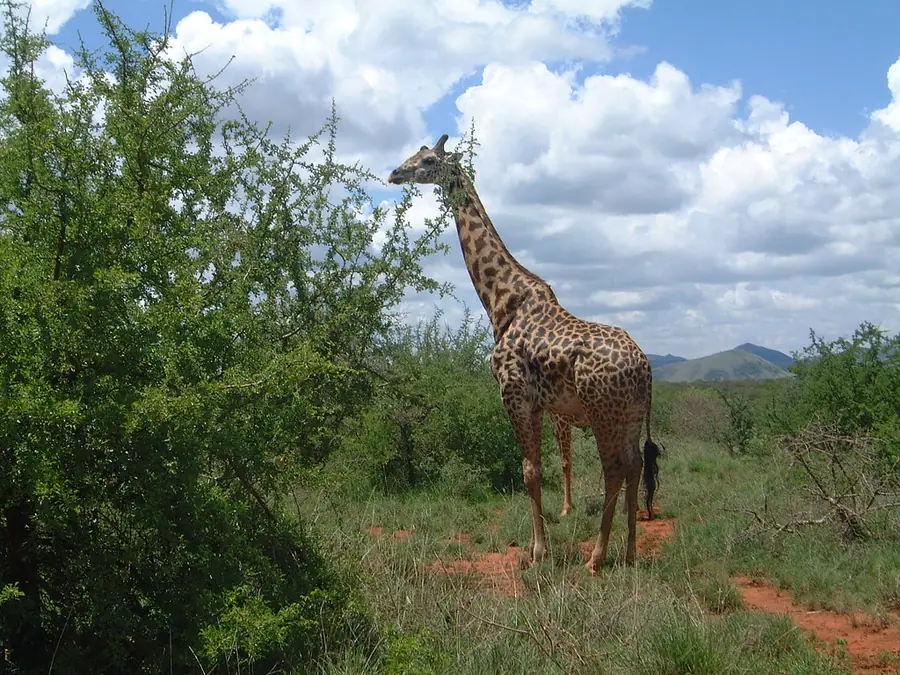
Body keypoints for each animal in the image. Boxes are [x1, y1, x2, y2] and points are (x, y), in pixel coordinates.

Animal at [388, 134, 661, 571]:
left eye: (428, 161)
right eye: (415, 154)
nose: (395, 173)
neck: (501, 302)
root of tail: (646, 367)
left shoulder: (513, 394)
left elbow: (530, 471)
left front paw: (538, 553)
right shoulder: (537, 404)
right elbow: (537, 469)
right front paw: (542, 546)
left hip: (602, 412)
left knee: (614, 470)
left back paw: (597, 557)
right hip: (629, 416)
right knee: (634, 466)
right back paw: (630, 552)